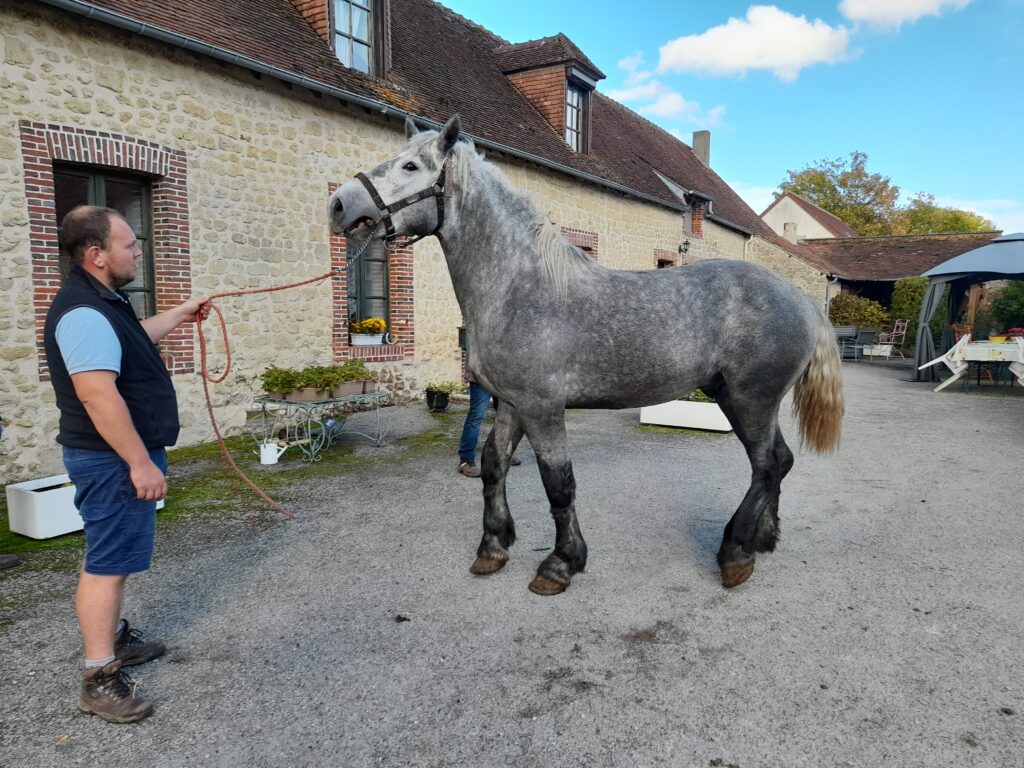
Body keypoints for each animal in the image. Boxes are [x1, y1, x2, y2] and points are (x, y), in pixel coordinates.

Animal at [331, 115, 843, 593]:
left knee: (767, 465)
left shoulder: (542, 408)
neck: (519, 287)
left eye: (411, 166)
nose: (338, 203)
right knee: (778, 462)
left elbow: (559, 485)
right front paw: (492, 549)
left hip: (750, 400)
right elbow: (493, 468)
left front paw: (561, 564)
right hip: (735, 399)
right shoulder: (510, 403)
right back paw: (763, 539)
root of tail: (802, 300)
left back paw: (736, 553)